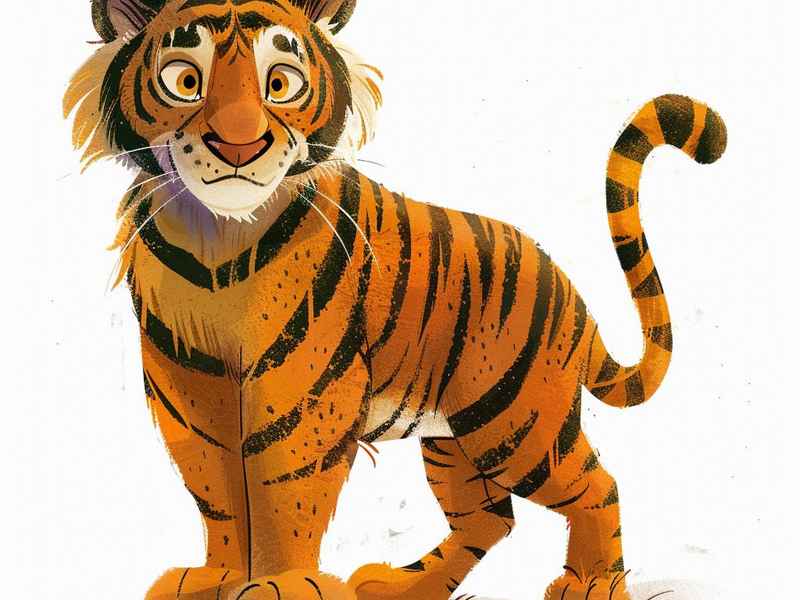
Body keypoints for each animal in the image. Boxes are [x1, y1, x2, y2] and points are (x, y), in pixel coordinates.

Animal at [64, 1, 727, 599]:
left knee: (597, 486)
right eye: (184, 80)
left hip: (513, 421)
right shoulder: (190, 386)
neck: (214, 238)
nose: (238, 147)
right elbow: (217, 489)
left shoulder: (301, 391)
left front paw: (281, 583)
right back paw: (399, 585)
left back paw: (589, 584)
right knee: (488, 520)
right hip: (454, 437)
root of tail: (575, 299)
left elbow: (282, 487)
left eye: (280, 83)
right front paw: (218, 577)